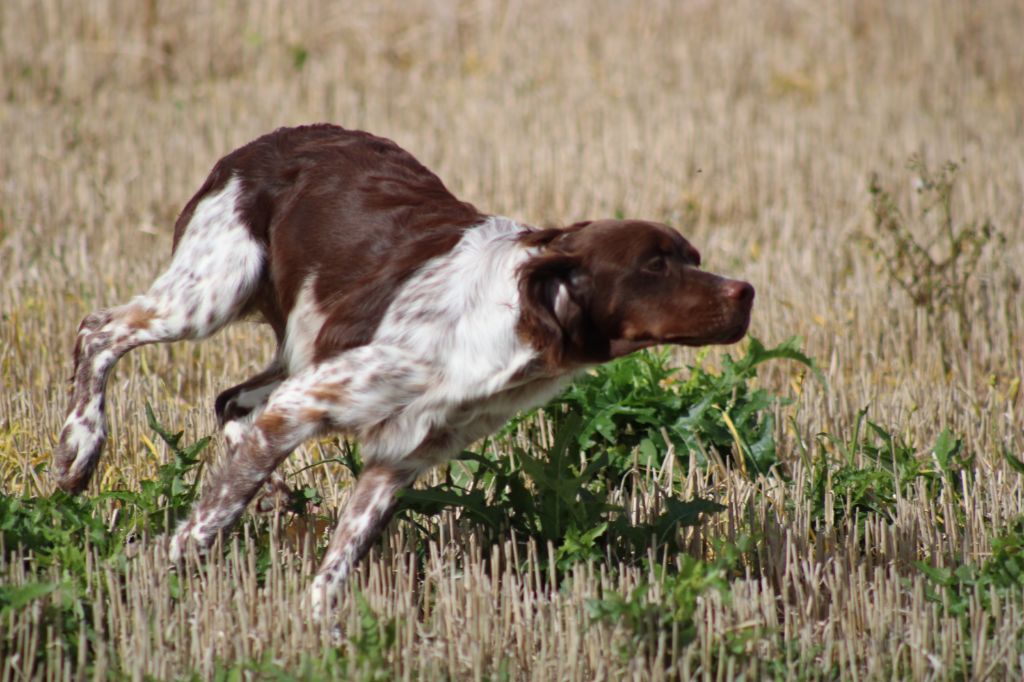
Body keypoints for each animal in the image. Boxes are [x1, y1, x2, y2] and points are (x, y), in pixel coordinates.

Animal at [54, 122, 753, 610]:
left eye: (692, 256)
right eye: (655, 265)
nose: (746, 292)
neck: (502, 332)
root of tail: (261, 145)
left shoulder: (397, 460)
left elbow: (335, 567)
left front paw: (325, 635)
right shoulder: (309, 404)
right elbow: (207, 521)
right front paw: (159, 576)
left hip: (299, 344)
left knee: (232, 400)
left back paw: (270, 490)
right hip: (214, 290)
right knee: (101, 331)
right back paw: (79, 447)